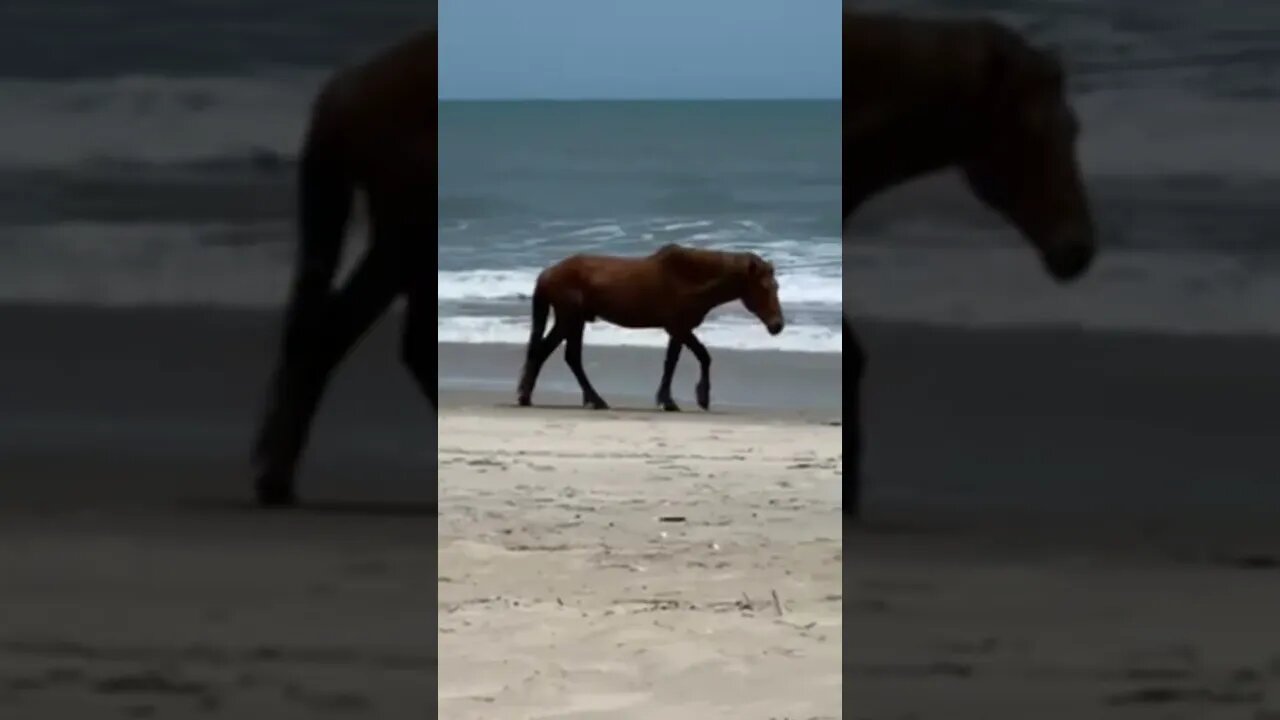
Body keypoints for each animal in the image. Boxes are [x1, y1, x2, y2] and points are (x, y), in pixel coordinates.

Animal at [514, 240, 783, 409]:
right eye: (764, 287)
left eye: (776, 286)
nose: (777, 325)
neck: (691, 278)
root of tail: (547, 273)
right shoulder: (679, 327)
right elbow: (700, 357)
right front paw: (696, 398)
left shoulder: (677, 330)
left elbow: (673, 362)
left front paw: (669, 399)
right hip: (570, 319)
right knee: (561, 355)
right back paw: (591, 400)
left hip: (573, 321)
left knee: (558, 355)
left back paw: (533, 396)